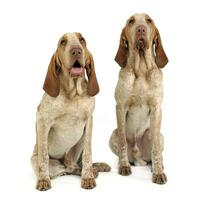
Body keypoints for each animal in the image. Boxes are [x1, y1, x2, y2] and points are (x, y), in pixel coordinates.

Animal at [109, 13, 169, 184]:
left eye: (149, 20)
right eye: (131, 21)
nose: (140, 29)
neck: (141, 68)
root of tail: (139, 158)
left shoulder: (157, 109)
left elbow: (156, 148)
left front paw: (158, 172)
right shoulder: (120, 107)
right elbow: (123, 142)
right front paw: (123, 166)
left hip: (158, 135)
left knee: (156, 151)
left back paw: (157, 165)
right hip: (112, 136)